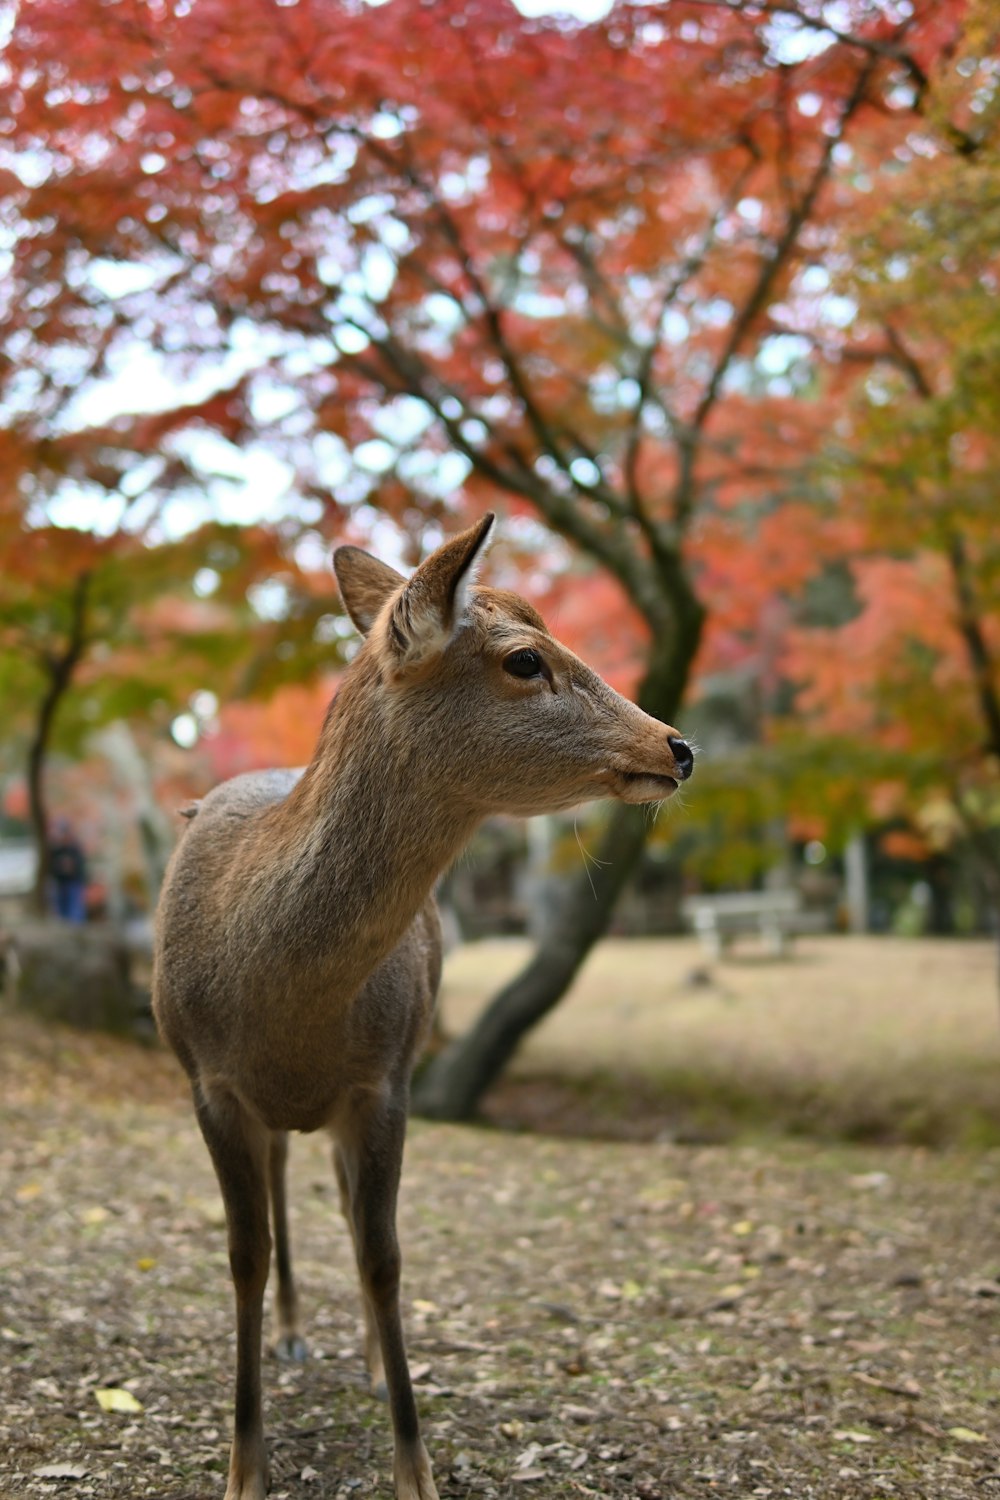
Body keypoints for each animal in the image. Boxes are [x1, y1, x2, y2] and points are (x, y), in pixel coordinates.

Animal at [152, 516, 692, 1500]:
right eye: (525, 659)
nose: (677, 746)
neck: (282, 1002)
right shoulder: (207, 1081)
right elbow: (243, 1255)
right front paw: (244, 1468)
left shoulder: (387, 1080)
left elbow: (383, 1256)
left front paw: (416, 1467)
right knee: (284, 1192)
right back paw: (293, 1336)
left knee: (335, 1199)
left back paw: (361, 1357)